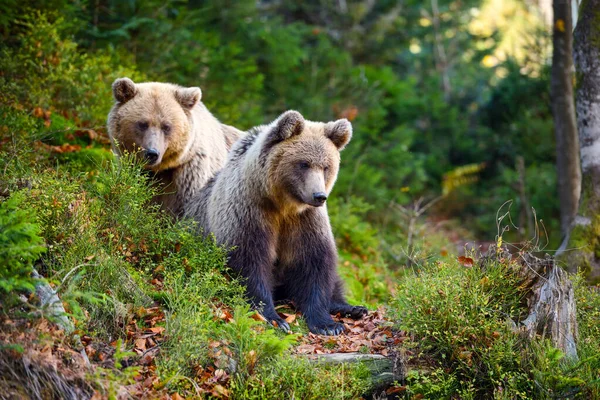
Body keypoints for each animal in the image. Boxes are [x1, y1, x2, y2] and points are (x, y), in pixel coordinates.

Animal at [185, 109, 368, 334]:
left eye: (326, 166)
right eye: (304, 163)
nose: (319, 196)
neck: (281, 204)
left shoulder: (305, 220)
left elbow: (314, 263)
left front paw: (328, 324)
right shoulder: (248, 211)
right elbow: (250, 261)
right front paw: (275, 318)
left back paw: (353, 307)